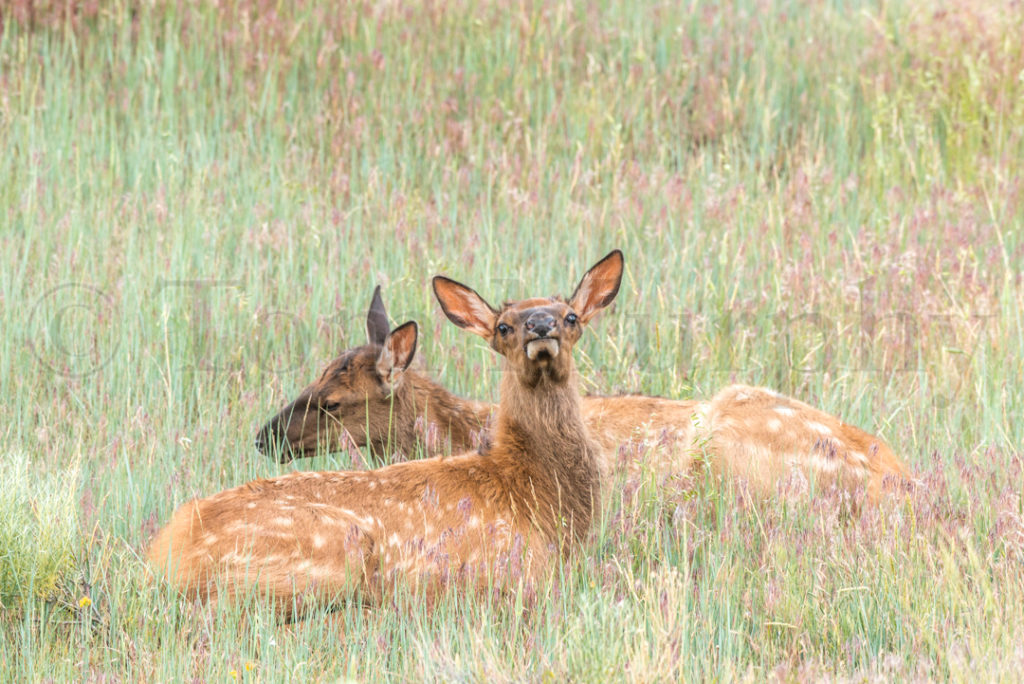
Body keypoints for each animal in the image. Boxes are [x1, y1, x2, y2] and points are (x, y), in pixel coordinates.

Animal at [147, 250, 625, 619]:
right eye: (503, 326)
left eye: (571, 317)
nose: (541, 326)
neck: (531, 490)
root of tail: (167, 552)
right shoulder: (512, 570)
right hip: (334, 551)